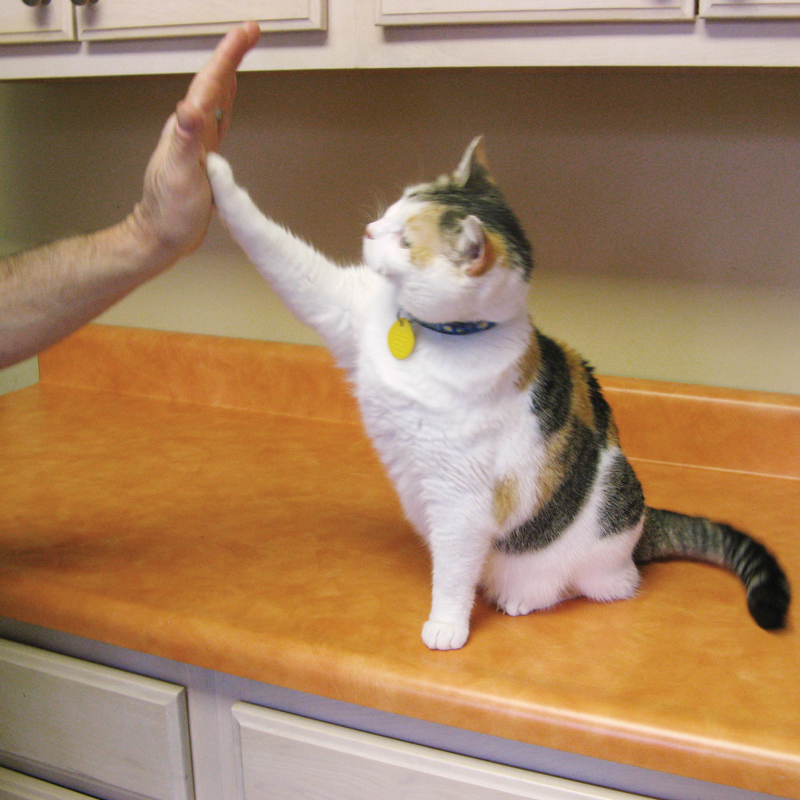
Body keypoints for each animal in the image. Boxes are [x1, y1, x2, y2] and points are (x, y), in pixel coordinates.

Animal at [205, 139, 788, 648]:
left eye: (405, 240)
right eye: (394, 207)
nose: (369, 229)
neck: (430, 334)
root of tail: (641, 529)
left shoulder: (459, 498)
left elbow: (453, 574)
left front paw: (446, 625)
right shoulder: (340, 305)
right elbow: (274, 245)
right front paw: (210, 164)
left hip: (601, 534)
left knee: (603, 586)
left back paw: (523, 597)